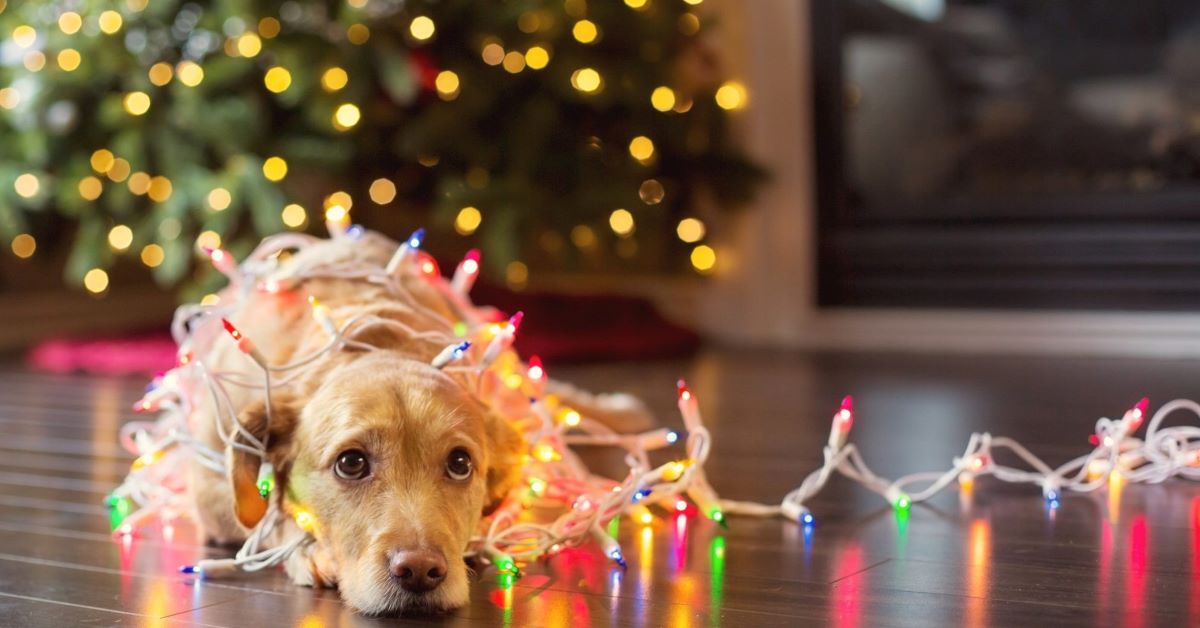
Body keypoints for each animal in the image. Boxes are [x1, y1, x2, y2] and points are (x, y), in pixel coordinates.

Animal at [187, 230, 652, 614]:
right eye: (350, 463)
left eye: (460, 464)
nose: (420, 571)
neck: (371, 341)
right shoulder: (209, 487)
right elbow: (268, 514)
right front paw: (306, 548)